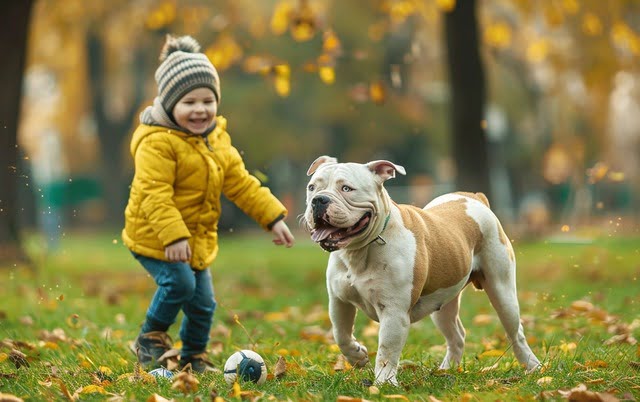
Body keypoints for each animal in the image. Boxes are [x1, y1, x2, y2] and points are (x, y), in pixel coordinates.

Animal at [304, 155, 540, 384]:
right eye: (312, 187)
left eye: (347, 188)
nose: (319, 200)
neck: (360, 250)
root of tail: (474, 197)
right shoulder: (339, 302)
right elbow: (340, 334)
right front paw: (358, 357)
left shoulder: (394, 312)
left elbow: (386, 351)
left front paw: (384, 384)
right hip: (442, 303)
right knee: (456, 335)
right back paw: (447, 370)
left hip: (502, 290)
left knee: (515, 332)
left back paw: (533, 367)